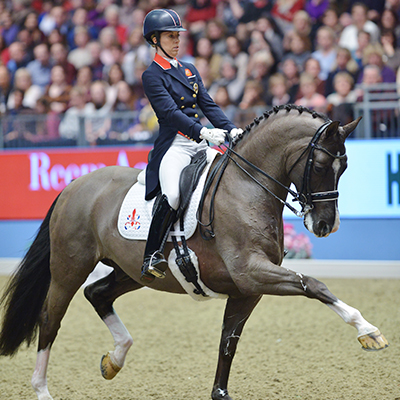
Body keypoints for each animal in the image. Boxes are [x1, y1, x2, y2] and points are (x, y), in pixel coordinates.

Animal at [0, 105, 388, 400]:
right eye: (321, 166)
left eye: (345, 168)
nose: (325, 225)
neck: (245, 187)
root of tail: (75, 185)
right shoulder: (252, 272)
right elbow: (316, 285)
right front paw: (368, 330)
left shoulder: (247, 290)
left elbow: (228, 342)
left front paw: (220, 393)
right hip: (69, 268)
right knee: (51, 319)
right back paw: (43, 389)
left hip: (131, 271)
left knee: (97, 294)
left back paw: (115, 359)